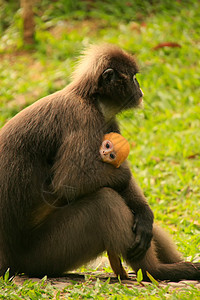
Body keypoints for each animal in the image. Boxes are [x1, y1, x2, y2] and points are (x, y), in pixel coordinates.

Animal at [0, 44, 199, 282]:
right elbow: (70, 181)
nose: (140, 89)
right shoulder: (81, 118)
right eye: (134, 78)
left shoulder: (109, 123)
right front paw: (124, 174)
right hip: (42, 254)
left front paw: (144, 214)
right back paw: (156, 271)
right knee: (105, 201)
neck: (91, 100)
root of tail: (8, 259)